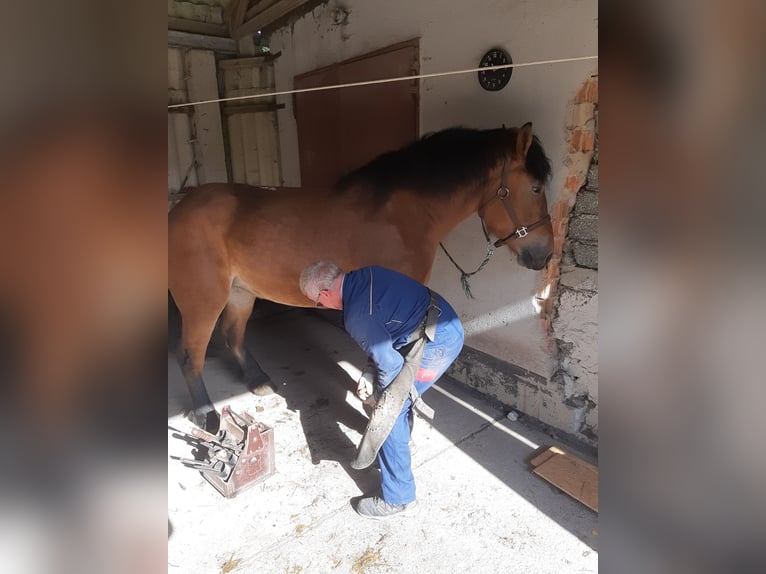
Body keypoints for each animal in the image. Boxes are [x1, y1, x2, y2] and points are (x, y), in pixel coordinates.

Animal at [168, 123, 553, 431]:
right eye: (535, 188)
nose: (545, 255)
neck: (404, 215)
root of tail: (178, 209)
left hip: (241, 291)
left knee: (232, 334)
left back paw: (257, 379)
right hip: (204, 300)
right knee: (190, 355)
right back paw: (206, 414)